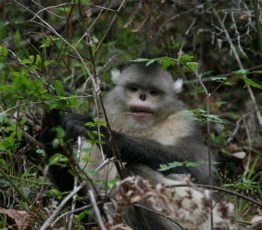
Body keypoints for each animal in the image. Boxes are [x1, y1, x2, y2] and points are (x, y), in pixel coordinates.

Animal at [46, 62, 235, 230]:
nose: (142, 97)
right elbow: (80, 201)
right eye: (133, 89)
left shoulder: (183, 124)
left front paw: (111, 138)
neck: (139, 129)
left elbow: (198, 172)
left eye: (153, 92)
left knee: (136, 170)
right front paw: (54, 120)